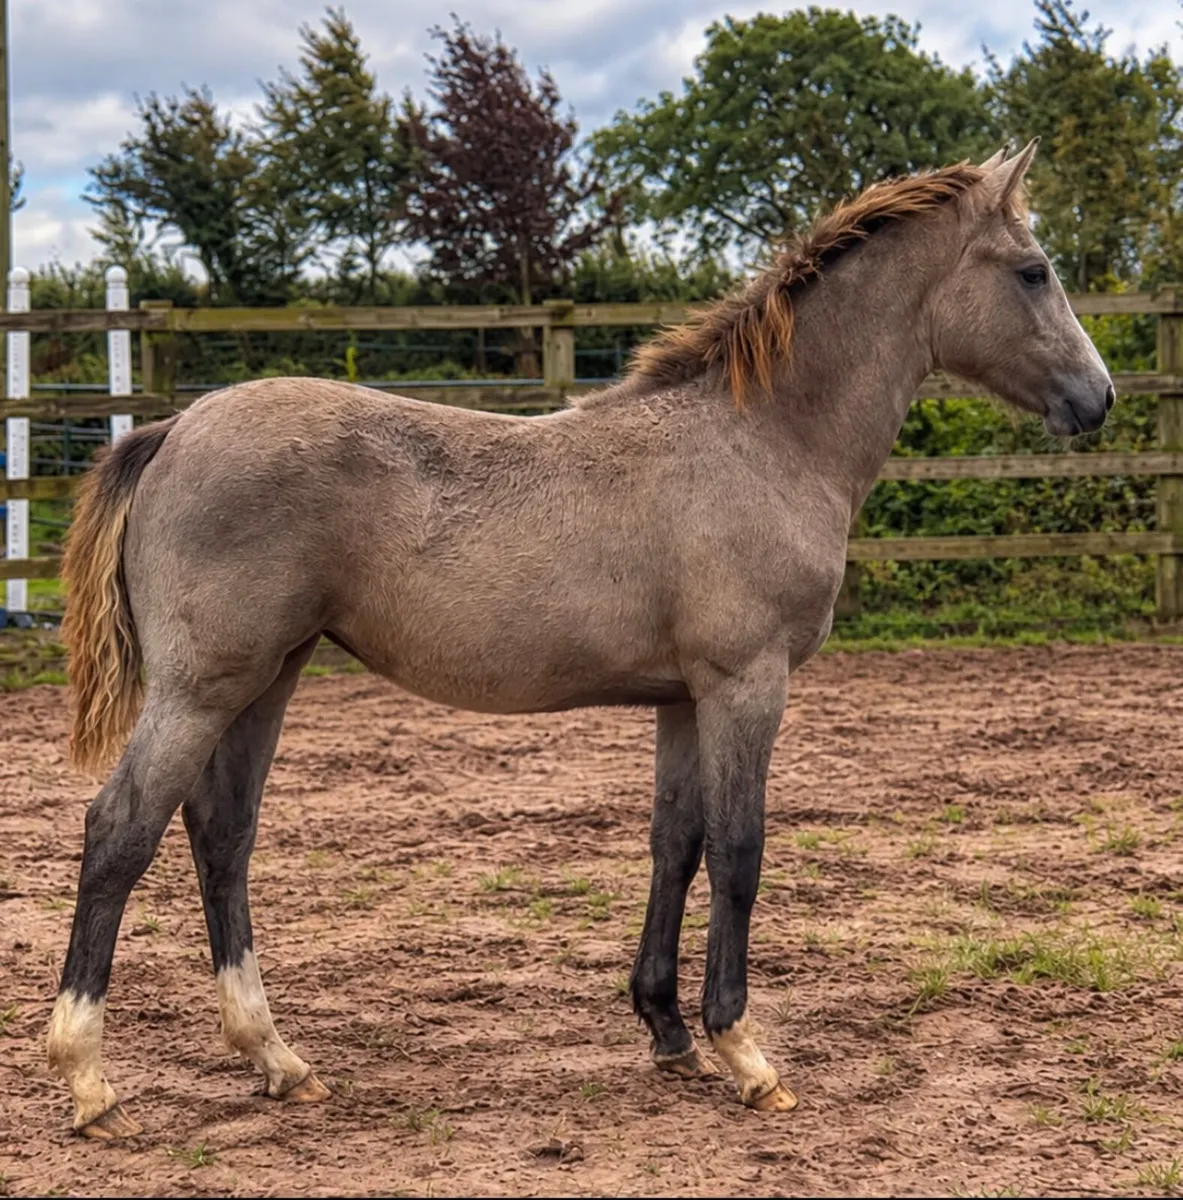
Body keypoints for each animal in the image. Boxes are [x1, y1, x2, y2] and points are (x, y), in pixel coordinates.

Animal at [47, 140, 1114, 1138]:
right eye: (1032, 271)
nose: (1096, 399)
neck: (765, 442)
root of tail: (176, 427)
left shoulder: (683, 699)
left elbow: (675, 843)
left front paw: (668, 1028)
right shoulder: (745, 685)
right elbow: (739, 850)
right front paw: (743, 1051)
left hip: (267, 678)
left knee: (221, 834)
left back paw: (275, 1057)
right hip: (203, 688)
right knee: (120, 830)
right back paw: (89, 1079)